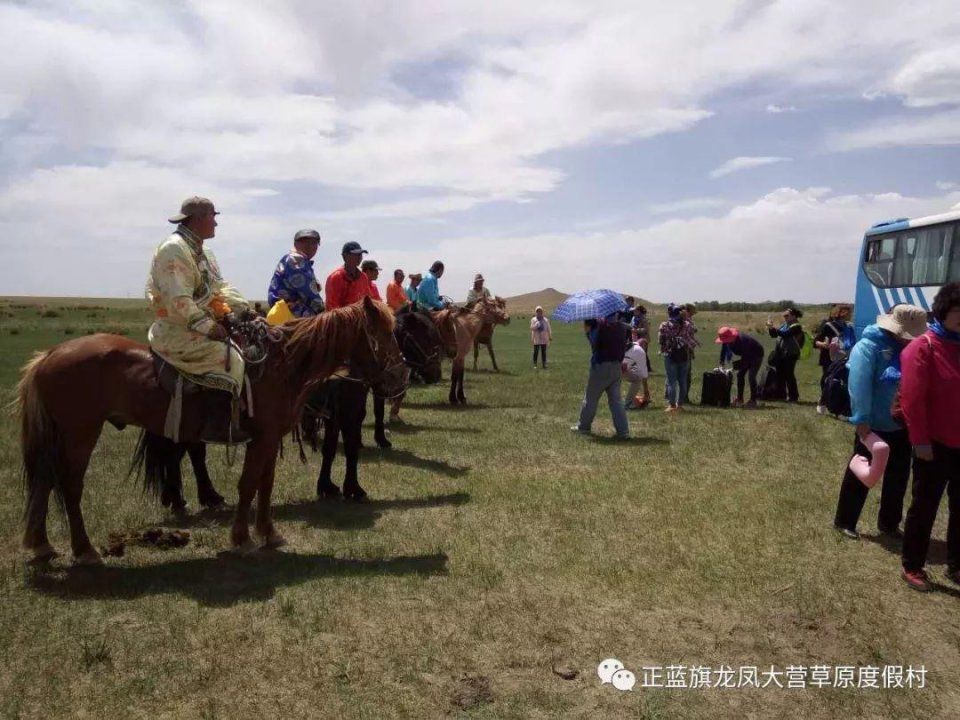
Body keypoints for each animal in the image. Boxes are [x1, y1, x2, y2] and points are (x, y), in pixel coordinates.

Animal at [16, 296, 404, 564]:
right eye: (385, 333)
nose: (402, 374)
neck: (283, 365)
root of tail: (49, 356)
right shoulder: (261, 439)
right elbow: (248, 485)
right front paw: (242, 538)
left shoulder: (268, 439)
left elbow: (264, 486)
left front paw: (269, 533)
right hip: (80, 434)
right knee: (69, 485)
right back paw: (84, 550)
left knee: (45, 480)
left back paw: (42, 544)